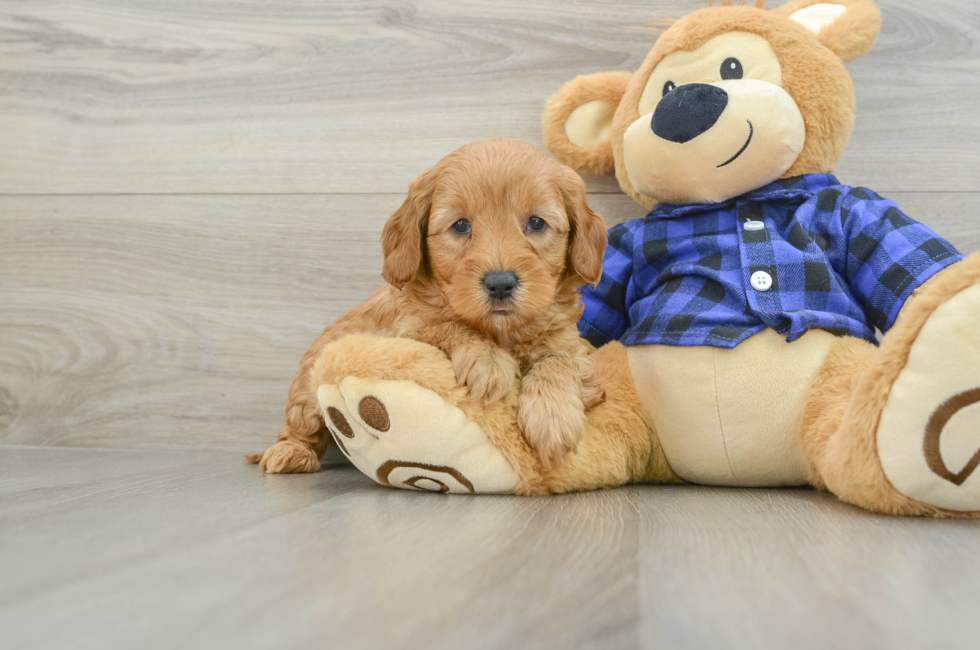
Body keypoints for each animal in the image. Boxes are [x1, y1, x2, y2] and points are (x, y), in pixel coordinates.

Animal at [249, 138, 608, 470]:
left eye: (536, 223)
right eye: (460, 225)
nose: (500, 283)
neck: (501, 331)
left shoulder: (574, 347)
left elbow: (557, 360)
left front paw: (553, 418)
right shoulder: (404, 332)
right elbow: (448, 325)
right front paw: (488, 361)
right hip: (307, 387)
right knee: (301, 425)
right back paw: (289, 453)